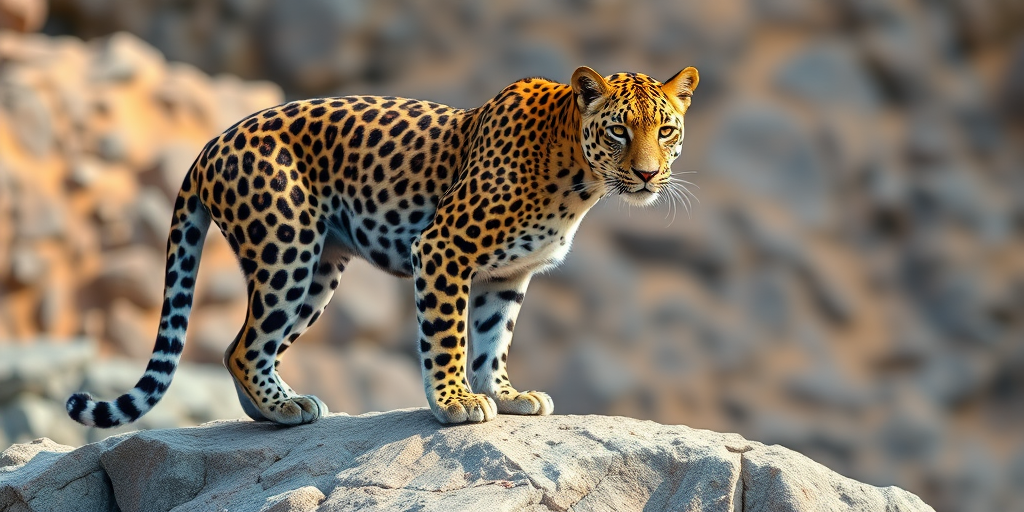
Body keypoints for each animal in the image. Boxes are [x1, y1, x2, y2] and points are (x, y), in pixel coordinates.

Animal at [66, 65, 700, 427]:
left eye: (666, 130)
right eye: (618, 130)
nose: (647, 175)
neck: (578, 180)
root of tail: (211, 144)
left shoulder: (506, 277)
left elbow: (493, 341)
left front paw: (505, 394)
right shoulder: (442, 248)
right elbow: (446, 336)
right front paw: (454, 403)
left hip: (318, 270)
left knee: (239, 348)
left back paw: (276, 409)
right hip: (286, 246)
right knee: (244, 347)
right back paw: (282, 410)